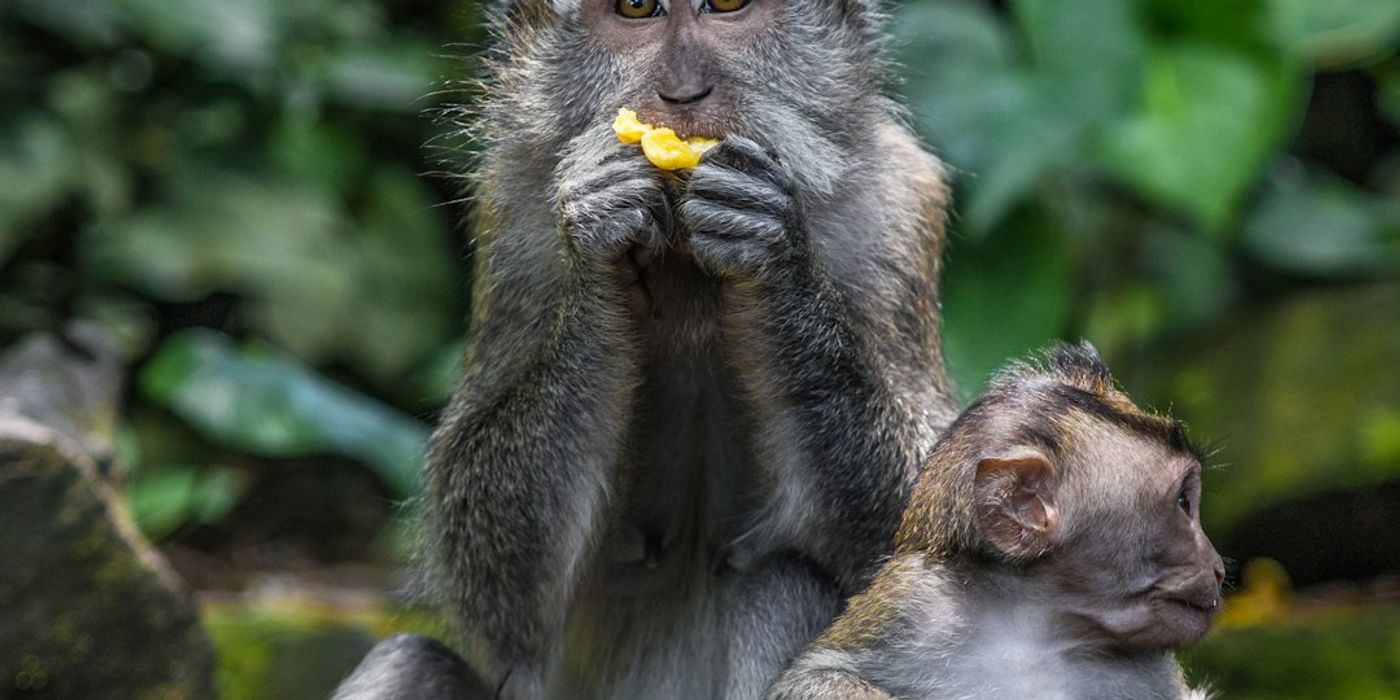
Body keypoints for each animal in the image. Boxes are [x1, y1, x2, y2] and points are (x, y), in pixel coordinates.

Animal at [333, 0, 960, 698]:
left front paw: (774, 254)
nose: (682, 95)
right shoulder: (509, 220)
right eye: (636, 8)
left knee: (783, 583)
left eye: (726, 7)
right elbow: (503, 604)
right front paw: (600, 236)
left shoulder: (898, 211)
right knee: (408, 660)